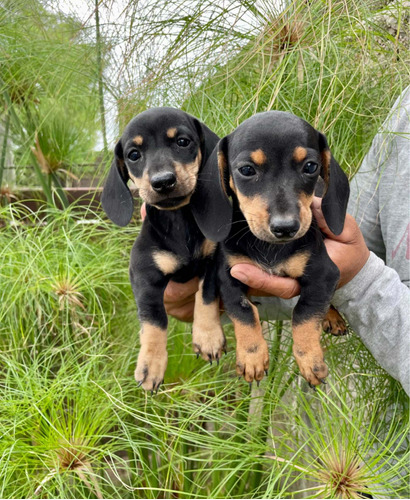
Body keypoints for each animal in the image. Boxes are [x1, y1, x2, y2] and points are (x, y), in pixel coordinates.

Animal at [99, 107, 229, 392]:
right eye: (133, 154)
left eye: (182, 141)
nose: (163, 182)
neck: (178, 221)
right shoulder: (145, 277)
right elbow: (154, 320)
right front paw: (151, 364)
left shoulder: (212, 262)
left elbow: (206, 296)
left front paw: (208, 337)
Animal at [193, 112, 350, 386]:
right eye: (246, 170)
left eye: (311, 166)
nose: (285, 228)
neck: (269, 247)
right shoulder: (228, 275)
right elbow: (243, 310)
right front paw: (252, 356)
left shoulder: (324, 273)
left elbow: (305, 311)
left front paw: (310, 358)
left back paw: (332, 317)